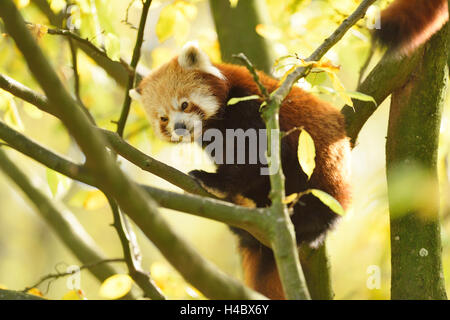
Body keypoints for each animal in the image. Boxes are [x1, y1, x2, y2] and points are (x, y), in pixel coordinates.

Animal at [130, 42, 352, 300]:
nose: (180, 127)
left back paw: (307, 224)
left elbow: (255, 159)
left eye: (184, 104)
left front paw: (214, 181)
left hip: (325, 172)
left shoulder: (253, 106)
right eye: (163, 119)